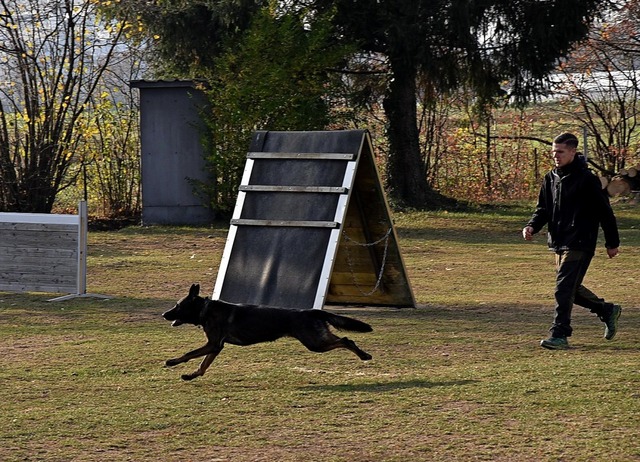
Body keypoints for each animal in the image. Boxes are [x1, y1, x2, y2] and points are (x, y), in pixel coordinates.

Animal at [162, 284, 372, 380]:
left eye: (178, 306)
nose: (164, 314)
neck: (205, 309)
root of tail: (312, 311)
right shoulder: (216, 347)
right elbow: (203, 365)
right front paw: (192, 375)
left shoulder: (212, 344)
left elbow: (190, 353)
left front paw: (172, 362)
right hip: (319, 339)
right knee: (346, 339)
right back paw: (364, 354)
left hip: (315, 343)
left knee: (345, 340)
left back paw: (364, 356)